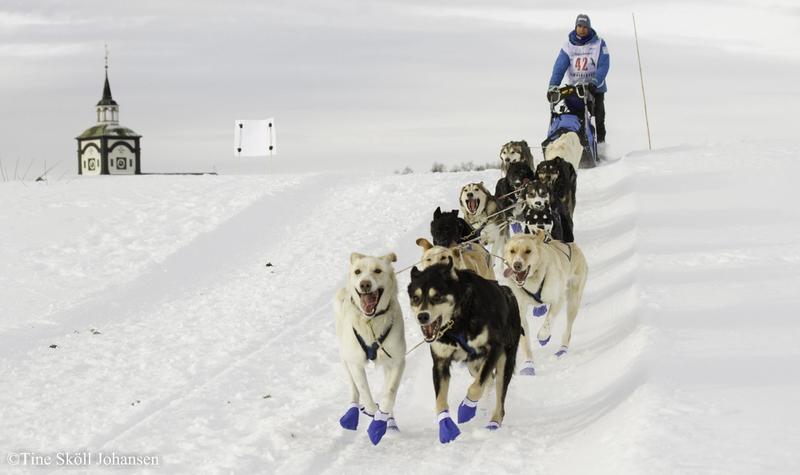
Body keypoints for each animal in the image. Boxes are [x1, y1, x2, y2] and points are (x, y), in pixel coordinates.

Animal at [332, 253, 406, 446]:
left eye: (378, 270)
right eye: (358, 271)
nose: (365, 284)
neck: (370, 322)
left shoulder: (397, 361)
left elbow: (389, 394)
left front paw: (380, 421)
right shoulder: (355, 363)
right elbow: (364, 391)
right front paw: (373, 411)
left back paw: (391, 424)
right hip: (345, 357)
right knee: (354, 388)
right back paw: (352, 413)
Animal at [410, 258, 520, 444]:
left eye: (436, 296)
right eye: (416, 298)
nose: (422, 316)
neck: (457, 322)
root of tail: (508, 293)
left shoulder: (494, 348)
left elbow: (476, 388)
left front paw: (466, 409)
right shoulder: (440, 363)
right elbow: (440, 401)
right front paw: (446, 427)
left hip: (505, 360)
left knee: (498, 396)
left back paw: (493, 422)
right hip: (473, 365)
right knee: (487, 380)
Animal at [506, 232, 588, 374]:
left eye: (528, 251)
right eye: (512, 251)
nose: (517, 265)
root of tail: (572, 245)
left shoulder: (558, 299)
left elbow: (549, 320)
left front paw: (543, 336)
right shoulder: (520, 310)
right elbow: (525, 341)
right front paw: (528, 365)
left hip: (573, 300)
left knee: (568, 328)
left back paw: (562, 349)